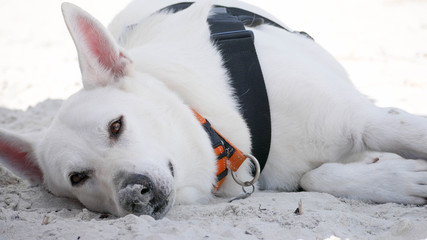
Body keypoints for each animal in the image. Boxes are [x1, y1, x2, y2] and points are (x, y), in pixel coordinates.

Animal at [0, 0, 427, 218]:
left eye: (116, 126)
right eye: (77, 177)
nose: (133, 193)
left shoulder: (363, 119)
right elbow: (313, 178)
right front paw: (399, 180)